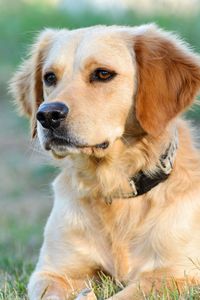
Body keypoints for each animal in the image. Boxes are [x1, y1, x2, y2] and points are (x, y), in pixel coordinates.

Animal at [10, 24, 200, 300]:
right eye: (50, 77)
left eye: (102, 74)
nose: (47, 115)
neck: (112, 188)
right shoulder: (52, 272)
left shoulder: (177, 275)